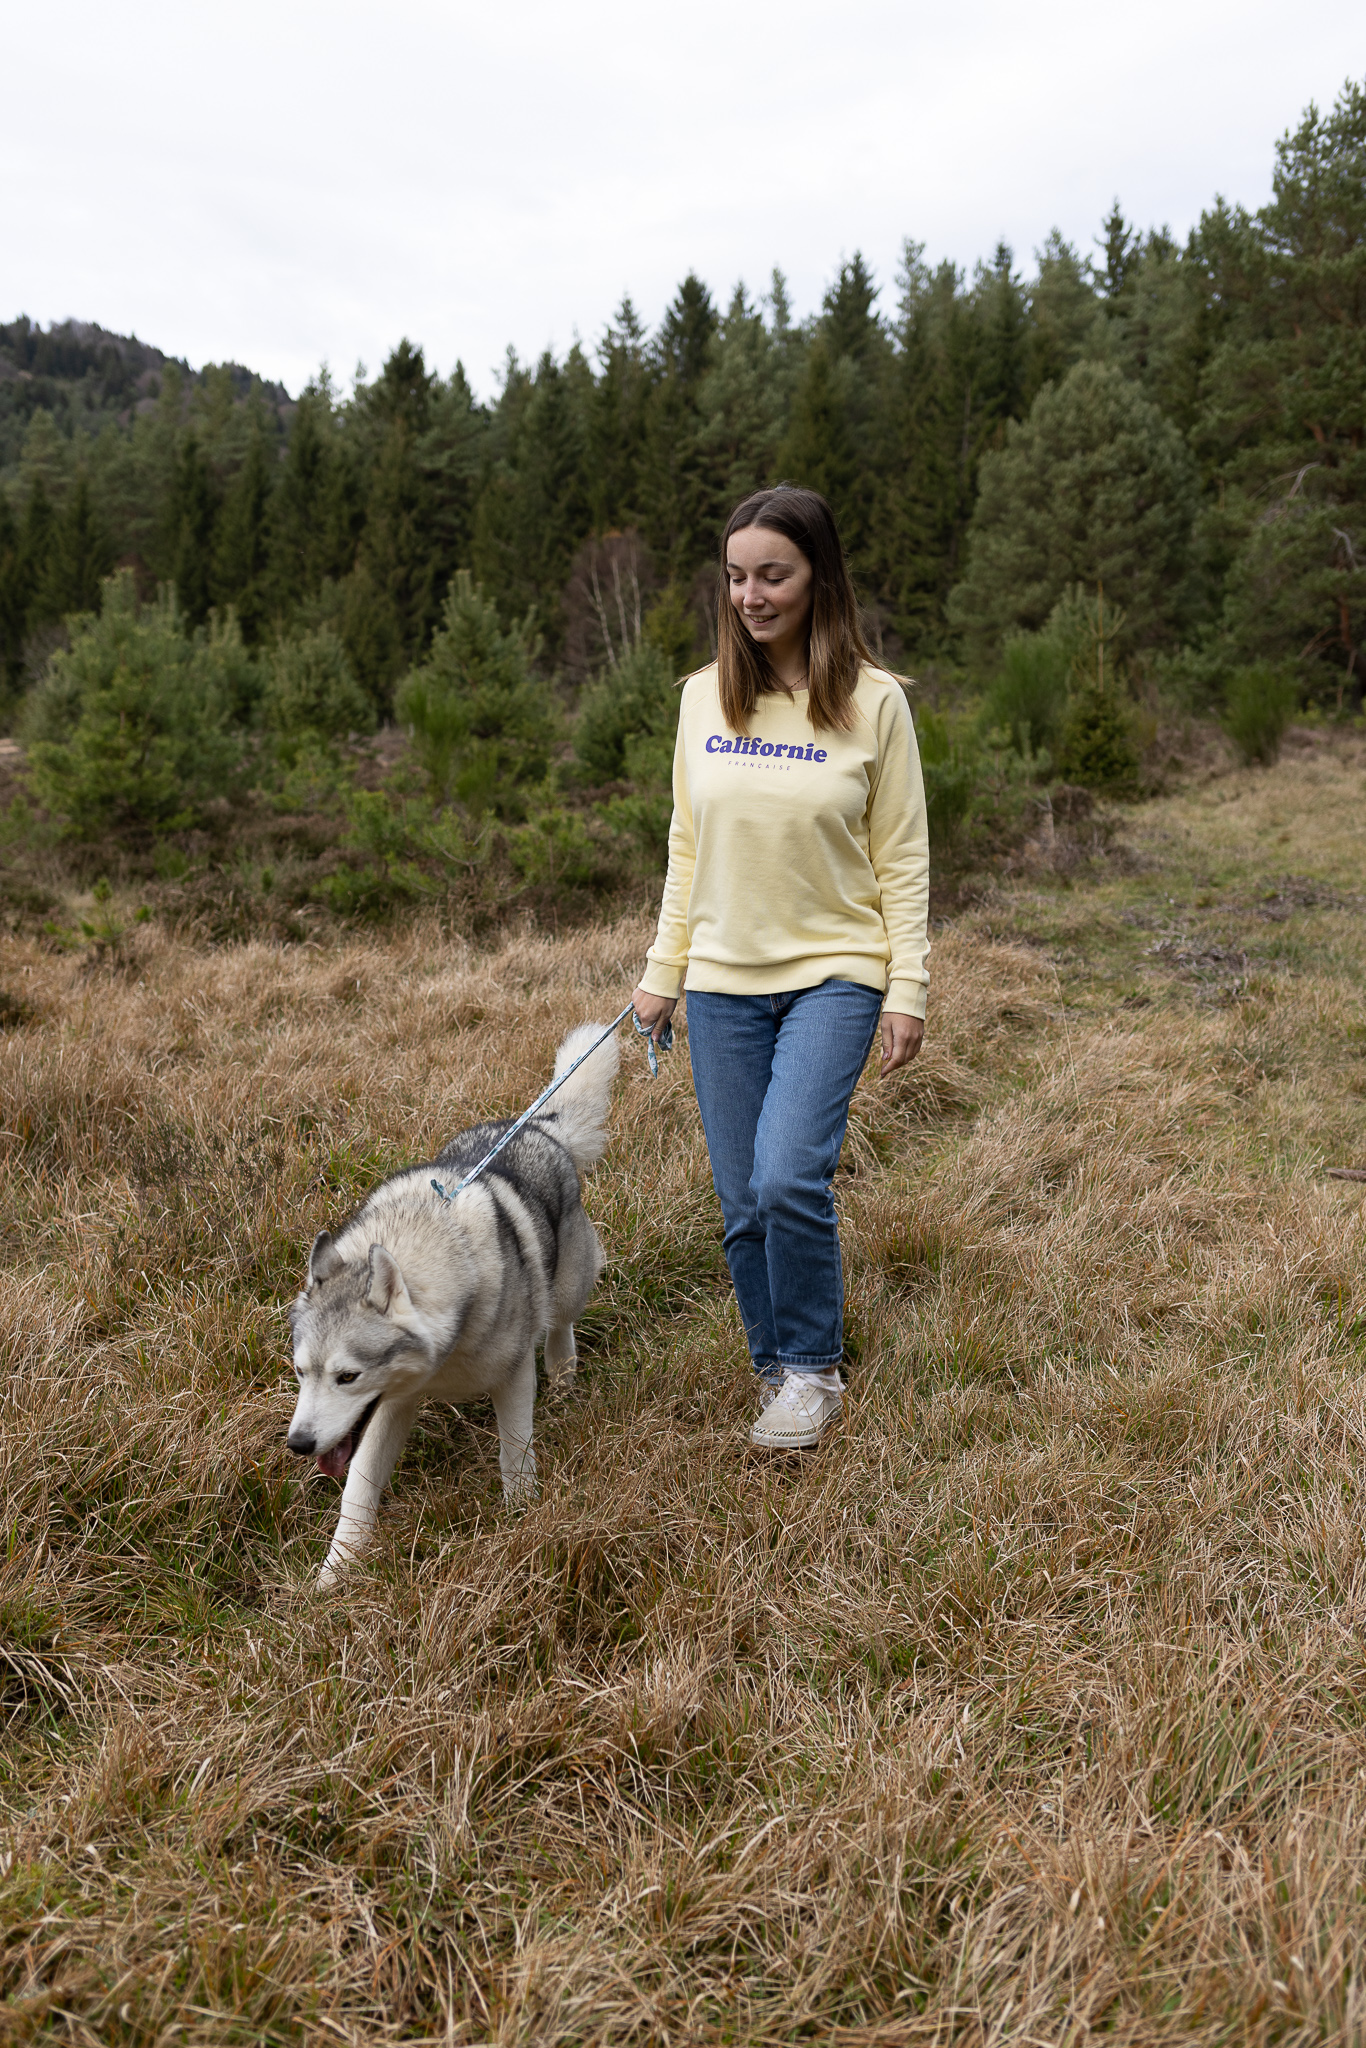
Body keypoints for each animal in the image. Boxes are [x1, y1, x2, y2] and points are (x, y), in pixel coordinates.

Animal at [285, 1022, 619, 1585]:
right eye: (299, 1372)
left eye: (347, 1377)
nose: (299, 1444)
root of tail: (538, 1126)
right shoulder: (392, 1403)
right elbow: (358, 1491)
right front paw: (336, 1575)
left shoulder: (513, 1376)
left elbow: (514, 1454)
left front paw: (521, 1518)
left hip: (571, 1287)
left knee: (558, 1321)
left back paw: (563, 1371)